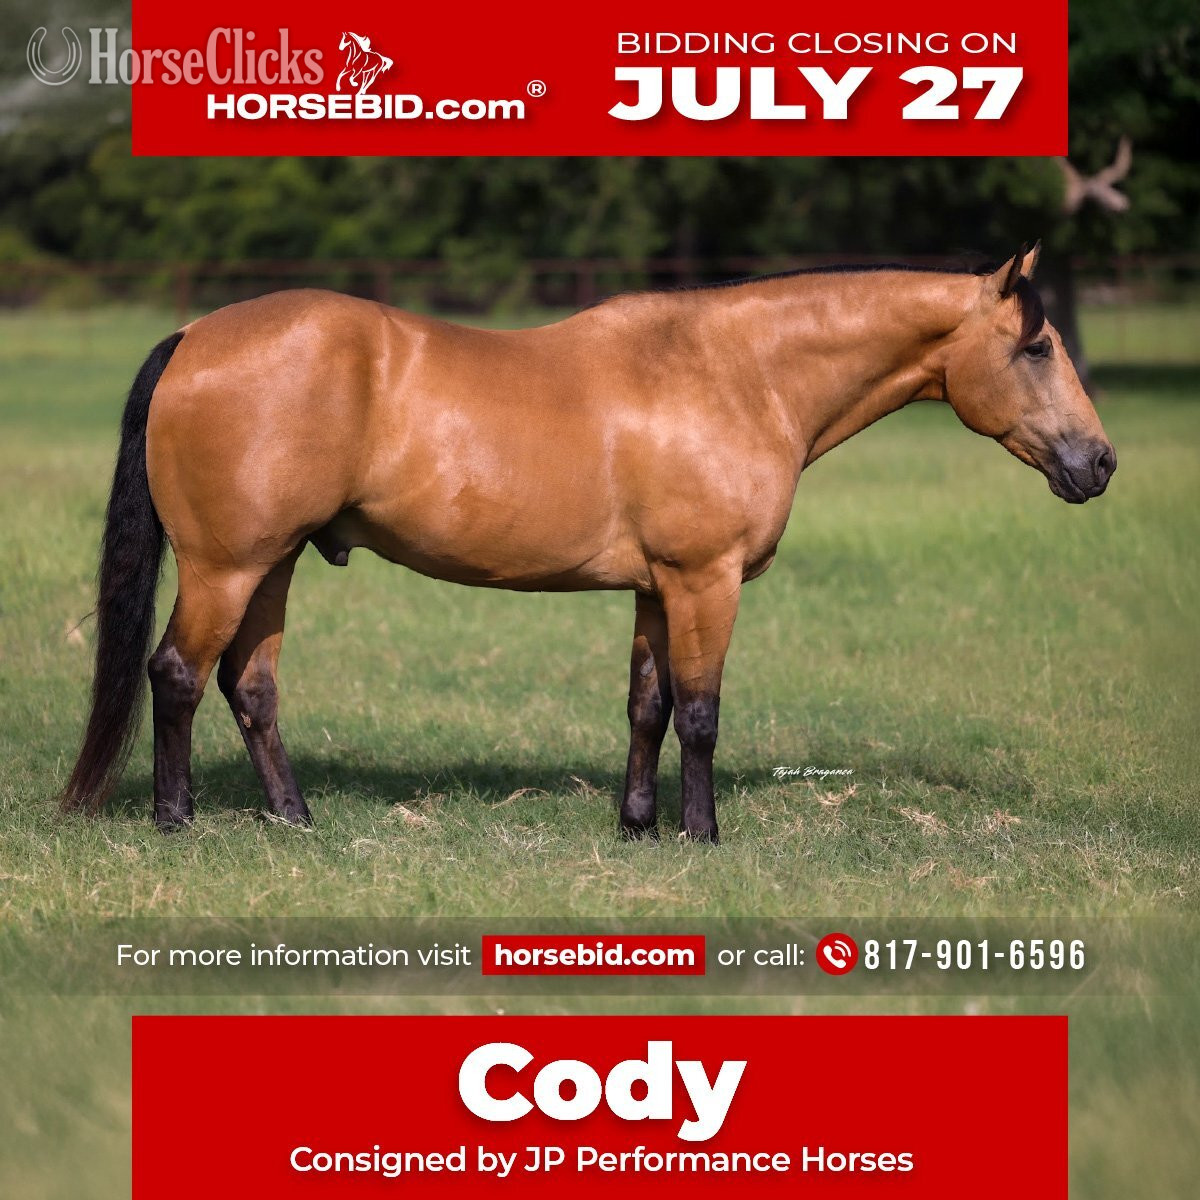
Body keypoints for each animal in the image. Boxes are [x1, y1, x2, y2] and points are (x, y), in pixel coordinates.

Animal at [60, 244, 1116, 840]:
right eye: (1035, 348)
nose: (1099, 463)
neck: (736, 373)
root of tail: (196, 335)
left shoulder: (657, 588)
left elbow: (647, 706)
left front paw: (637, 825)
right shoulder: (706, 581)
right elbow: (700, 712)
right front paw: (701, 835)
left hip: (270, 565)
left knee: (251, 686)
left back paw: (293, 817)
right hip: (227, 566)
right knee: (177, 673)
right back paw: (175, 819)